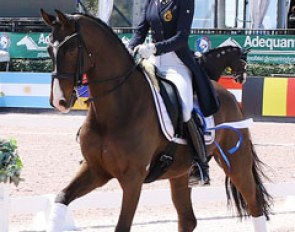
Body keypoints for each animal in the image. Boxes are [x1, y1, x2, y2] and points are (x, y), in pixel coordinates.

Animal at [41, 9, 272, 232]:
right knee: (188, 220)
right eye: (49, 50)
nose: (59, 101)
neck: (115, 112)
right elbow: (61, 198)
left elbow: (122, 226)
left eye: (71, 50)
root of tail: (228, 95)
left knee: (255, 205)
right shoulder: (95, 170)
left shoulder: (133, 179)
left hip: (236, 162)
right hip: (180, 175)